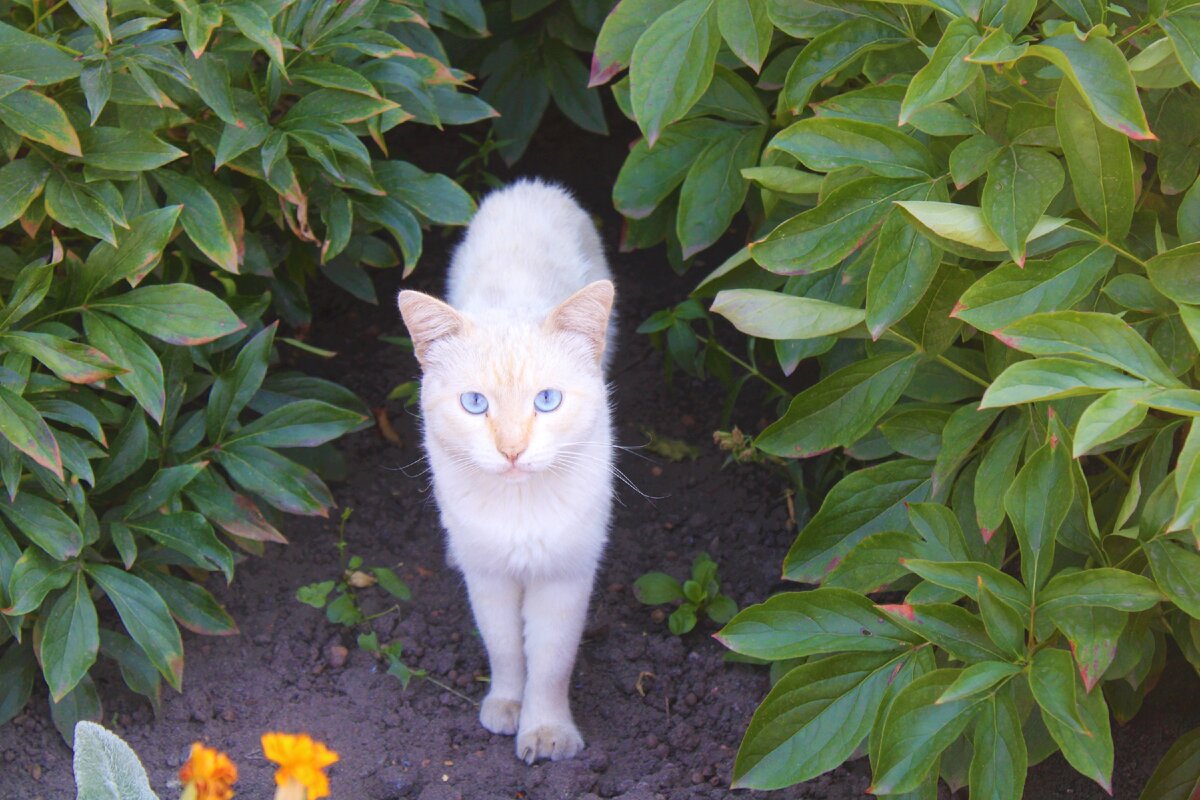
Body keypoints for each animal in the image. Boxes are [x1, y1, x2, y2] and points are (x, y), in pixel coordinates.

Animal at [396, 179, 614, 762]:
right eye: (475, 404)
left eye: (547, 400)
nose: (513, 450)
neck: (520, 506)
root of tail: (530, 187)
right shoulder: (489, 577)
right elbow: (506, 651)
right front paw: (506, 708)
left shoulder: (563, 577)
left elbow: (551, 664)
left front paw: (547, 734)